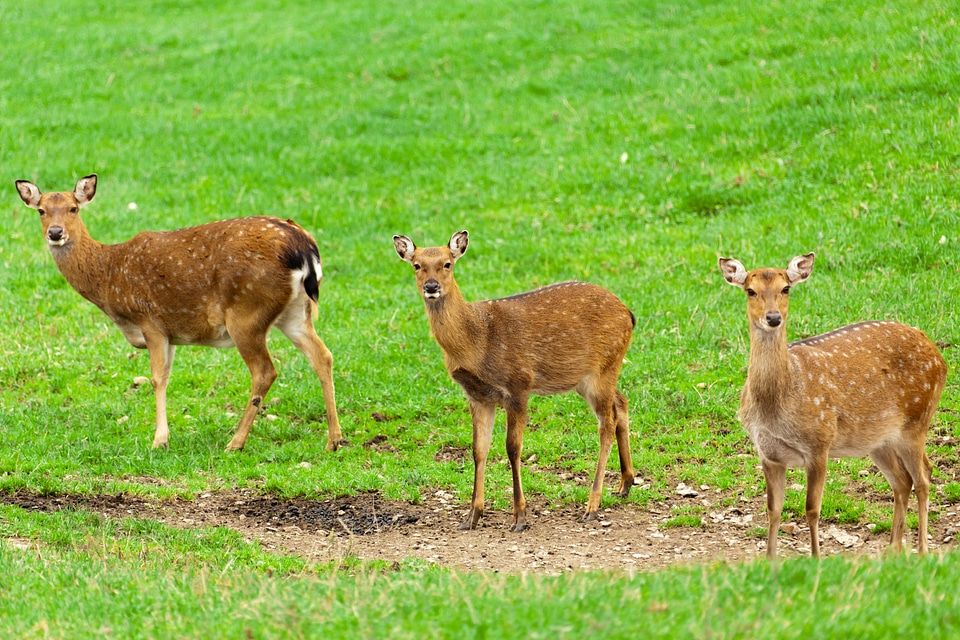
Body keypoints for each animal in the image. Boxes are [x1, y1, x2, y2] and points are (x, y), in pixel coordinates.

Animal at [16, 175, 344, 452]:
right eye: (41, 210)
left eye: (73, 208)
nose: (55, 233)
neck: (108, 278)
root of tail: (304, 247)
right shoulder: (170, 332)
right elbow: (166, 376)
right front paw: (163, 435)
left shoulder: (150, 320)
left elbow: (157, 378)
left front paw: (159, 440)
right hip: (295, 312)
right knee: (323, 355)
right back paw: (335, 439)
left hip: (246, 313)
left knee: (265, 370)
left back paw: (235, 442)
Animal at [394, 230, 632, 528]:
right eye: (417, 265)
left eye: (447, 263)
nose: (431, 286)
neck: (477, 342)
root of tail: (630, 315)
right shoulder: (477, 395)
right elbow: (478, 449)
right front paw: (472, 516)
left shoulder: (518, 385)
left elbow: (512, 447)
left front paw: (520, 515)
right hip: (590, 376)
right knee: (621, 403)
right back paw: (625, 484)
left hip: (604, 367)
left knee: (606, 424)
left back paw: (592, 505)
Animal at [716, 252, 948, 556]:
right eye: (750, 291)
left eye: (785, 288)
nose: (773, 317)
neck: (775, 407)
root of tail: (940, 357)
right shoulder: (768, 454)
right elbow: (773, 510)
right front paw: (770, 559)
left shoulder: (819, 443)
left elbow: (812, 509)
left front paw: (816, 557)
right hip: (879, 440)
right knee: (902, 481)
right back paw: (893, 551)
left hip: (917, 419)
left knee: (923, 478)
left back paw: (921, 551)